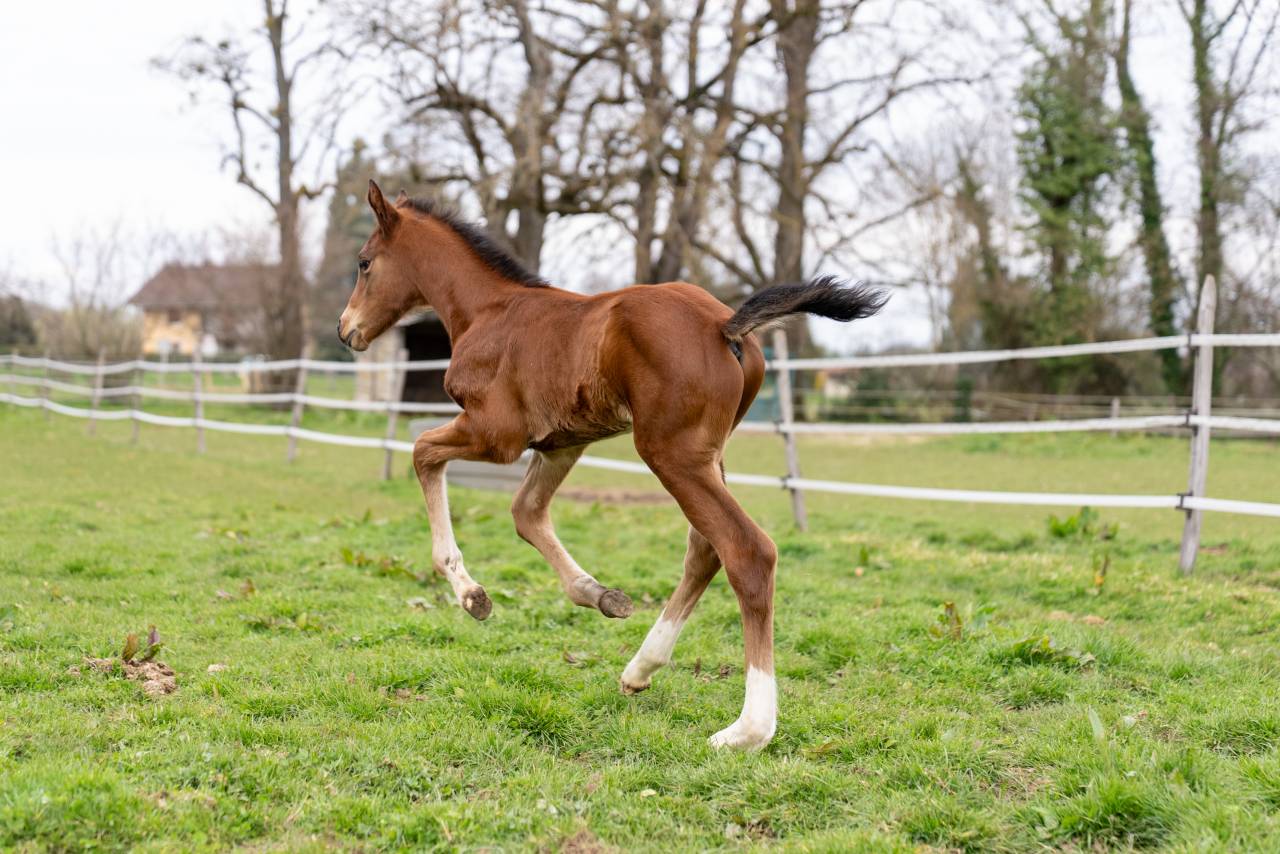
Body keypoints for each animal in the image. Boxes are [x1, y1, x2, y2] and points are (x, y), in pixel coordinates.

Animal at [337, 181, 887, 750]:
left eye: (364, 263)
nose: (345, 329)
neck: (487, 310)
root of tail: (724, 324)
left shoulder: (497, 436)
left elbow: (422, 452)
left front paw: (472, 596)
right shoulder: (560, 444)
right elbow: (526, 513)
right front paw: (599, 595)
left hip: (670, 454)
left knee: (746, 551)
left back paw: (747, 730)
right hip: (709, 456)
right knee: (704, 550)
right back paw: (640, 669)